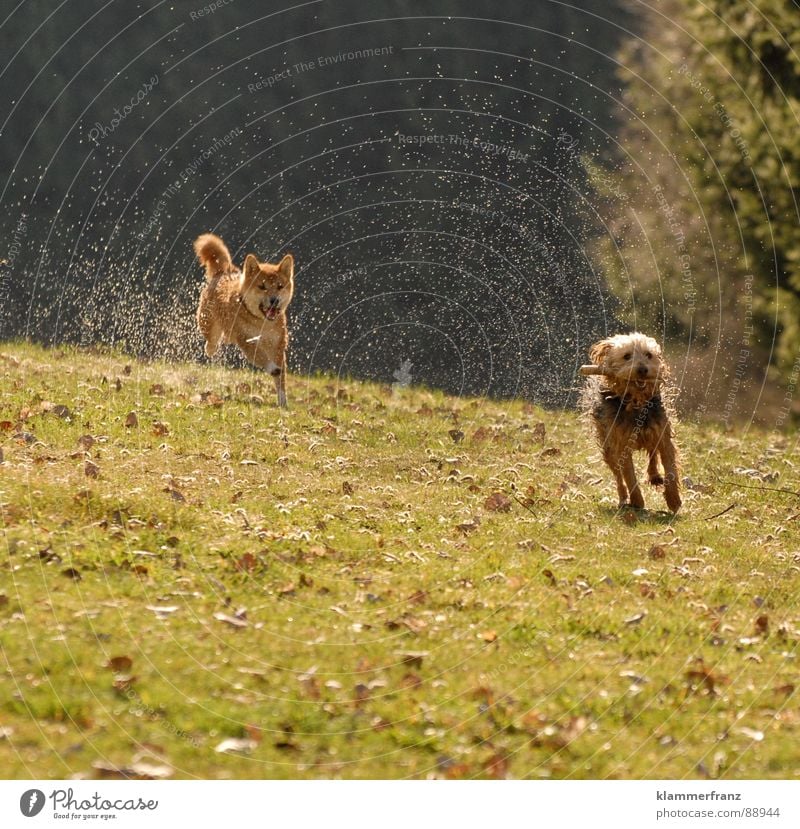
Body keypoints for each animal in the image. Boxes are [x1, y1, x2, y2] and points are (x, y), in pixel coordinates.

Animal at [195, 233, 296, 408]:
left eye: (280, 286)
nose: (274, 300)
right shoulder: (247, 341)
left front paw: (282, 401)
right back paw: (211, 348)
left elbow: (281, 380)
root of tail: (225, 271)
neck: (262, 323)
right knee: (211, 342)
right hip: (209, 325)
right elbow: (263, 358)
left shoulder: (278, 345)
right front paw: (272, 368)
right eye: (262, 286)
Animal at [580, 330, 680, 512]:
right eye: (626, 356)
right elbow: (628, 475)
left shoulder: (662, 434)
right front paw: (637, 501)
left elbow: (670, 468)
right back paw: (623, 499)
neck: (636, 402)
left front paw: (673, 499)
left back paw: (654, 475)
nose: (642, 369)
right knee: (618, 475)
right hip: (607, 445)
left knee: (652, 452)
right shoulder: (621, 442)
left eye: (649, 355)